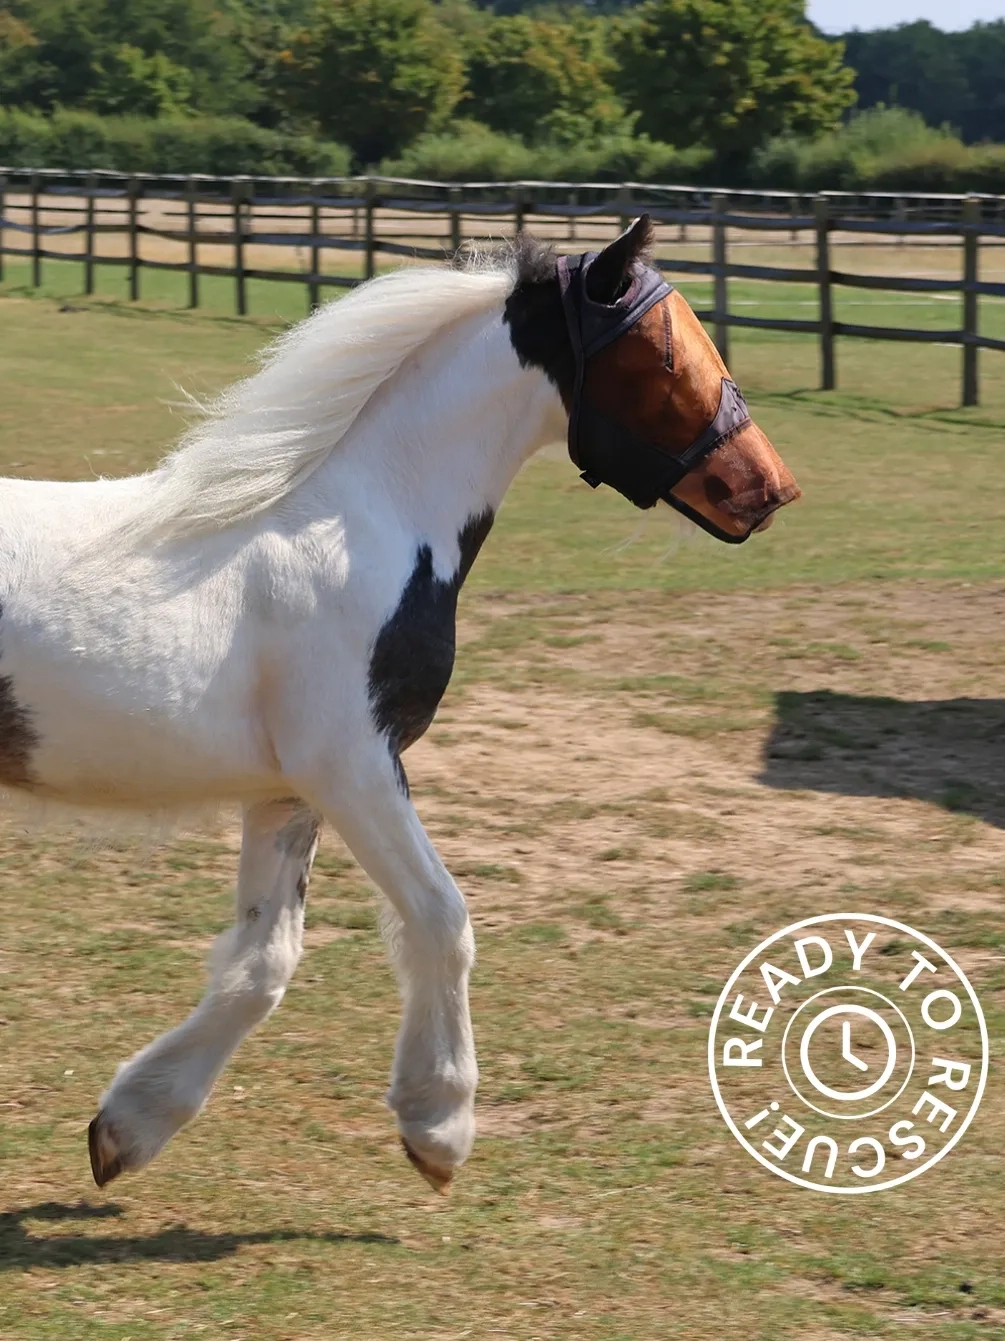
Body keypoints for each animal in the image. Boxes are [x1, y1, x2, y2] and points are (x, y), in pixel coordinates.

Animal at [0, 215, 800, 1194]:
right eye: (661, 353)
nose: (766, 489)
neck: (362, 523)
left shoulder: (287, 791)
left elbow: (262, 964)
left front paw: (128, 1124)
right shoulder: (354, 765)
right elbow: (440, 916)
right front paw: (437, 1122)